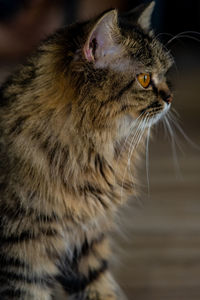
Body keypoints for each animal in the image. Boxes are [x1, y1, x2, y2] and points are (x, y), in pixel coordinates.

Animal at [0, 2, 173, 300]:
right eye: (144, 79)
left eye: (164, 74)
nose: (170, 97)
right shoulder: (23, 257)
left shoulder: (87, 242)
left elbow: (102, 289)